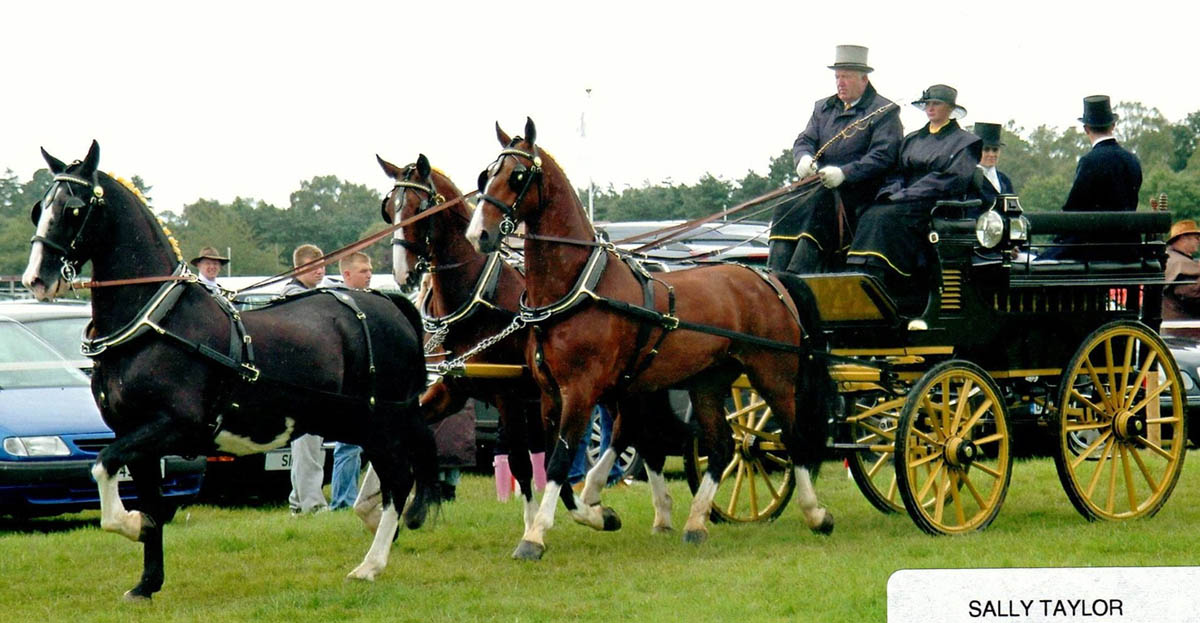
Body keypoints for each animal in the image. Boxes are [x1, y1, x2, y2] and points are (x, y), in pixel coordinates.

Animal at [18, 142, 439, 600]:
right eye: (39, 208)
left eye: (73, 208)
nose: (35, 279)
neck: (155, 320)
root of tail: (386, 301)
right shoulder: (133, 433)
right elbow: (145, 497)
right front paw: (147, 582)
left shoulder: (175, 425)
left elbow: (103, 466)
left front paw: (132, 524)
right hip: (354, 420)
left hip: (381, 421)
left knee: (399, 479)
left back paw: (371, 564)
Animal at [379, 154, 691, 540]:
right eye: (389, 210)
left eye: (420, 208)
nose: (402, 273)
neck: (480, 297)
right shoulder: (455, 389)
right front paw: (401, 508)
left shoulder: (511, 395)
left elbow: (523, 461)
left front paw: (536, 523)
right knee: (642, 436)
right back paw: (660, 512)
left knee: (634, 431)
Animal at [463, 118, 840, 561]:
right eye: (487, 174)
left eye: (518, 175)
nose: (479, 234)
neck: (576, 285)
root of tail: (768, 278)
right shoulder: (551, 395)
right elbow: (564, 466)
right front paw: (598, 514)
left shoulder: (582, 390)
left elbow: (560, 463)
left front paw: (535, 536)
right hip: (708, 382)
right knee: (722, 446)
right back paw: (696, 523)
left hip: (773, 375)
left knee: (793, 439)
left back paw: (816, 514)